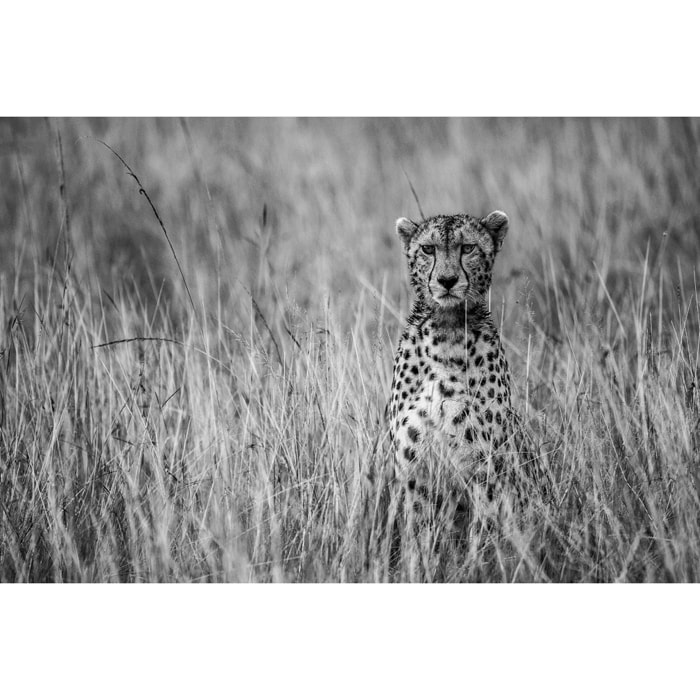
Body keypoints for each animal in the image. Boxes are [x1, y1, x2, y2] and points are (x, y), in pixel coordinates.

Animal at [388, 210, 513, 504]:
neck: (447, 328)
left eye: (467, 248)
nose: (447, 281)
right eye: (428, 249)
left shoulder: (486, 473)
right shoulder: (413, 472)